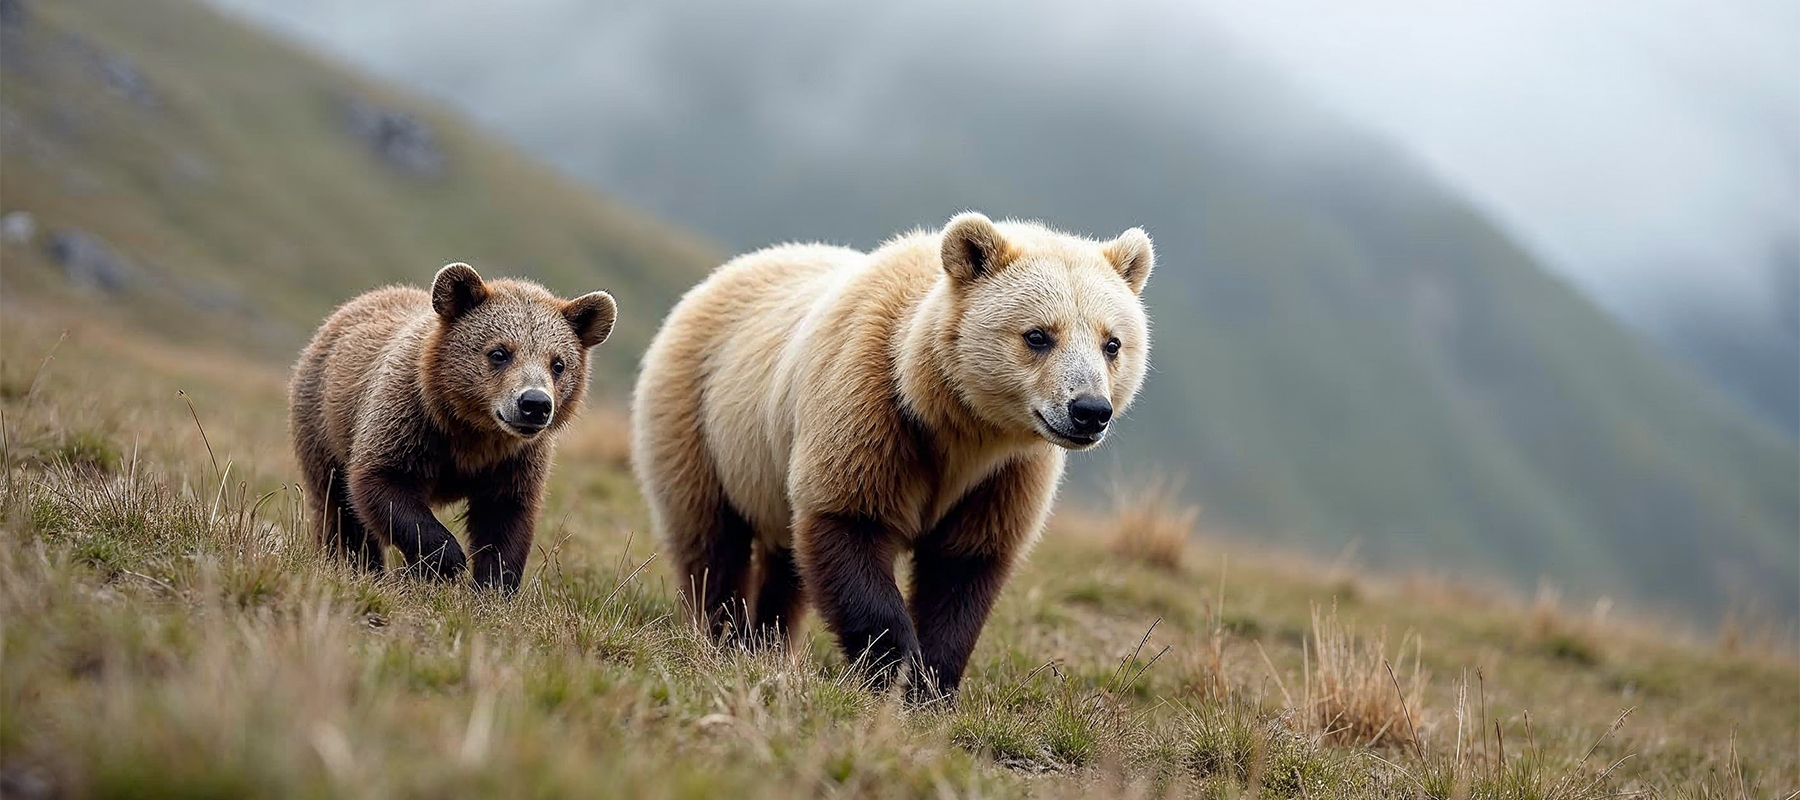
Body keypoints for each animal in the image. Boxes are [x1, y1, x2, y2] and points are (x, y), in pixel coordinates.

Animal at [289, 263, 616, 592]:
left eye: (558, 364)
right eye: (499, 352)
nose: (535, 404)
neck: (471, 430)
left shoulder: (515, 461)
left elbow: (504, 520)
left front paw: (492, 587)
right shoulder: (408, 422)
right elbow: (381, 483)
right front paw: (445, 560)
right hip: (323, 423)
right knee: (337, 507)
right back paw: (357, 567)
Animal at [631, 212, 1153, 698]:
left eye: (1112, 343)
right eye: (1038, 335)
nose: (1089, 410)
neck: (955, 424)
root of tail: (723, 274)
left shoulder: (1004, 475)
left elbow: (962, 569)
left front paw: (932, 687)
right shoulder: (871, 412)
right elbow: (849, 525)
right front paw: (892, 668)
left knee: (786, 561)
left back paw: (768, 644)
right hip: (700, 417)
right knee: (710, 540)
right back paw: (725, 637)